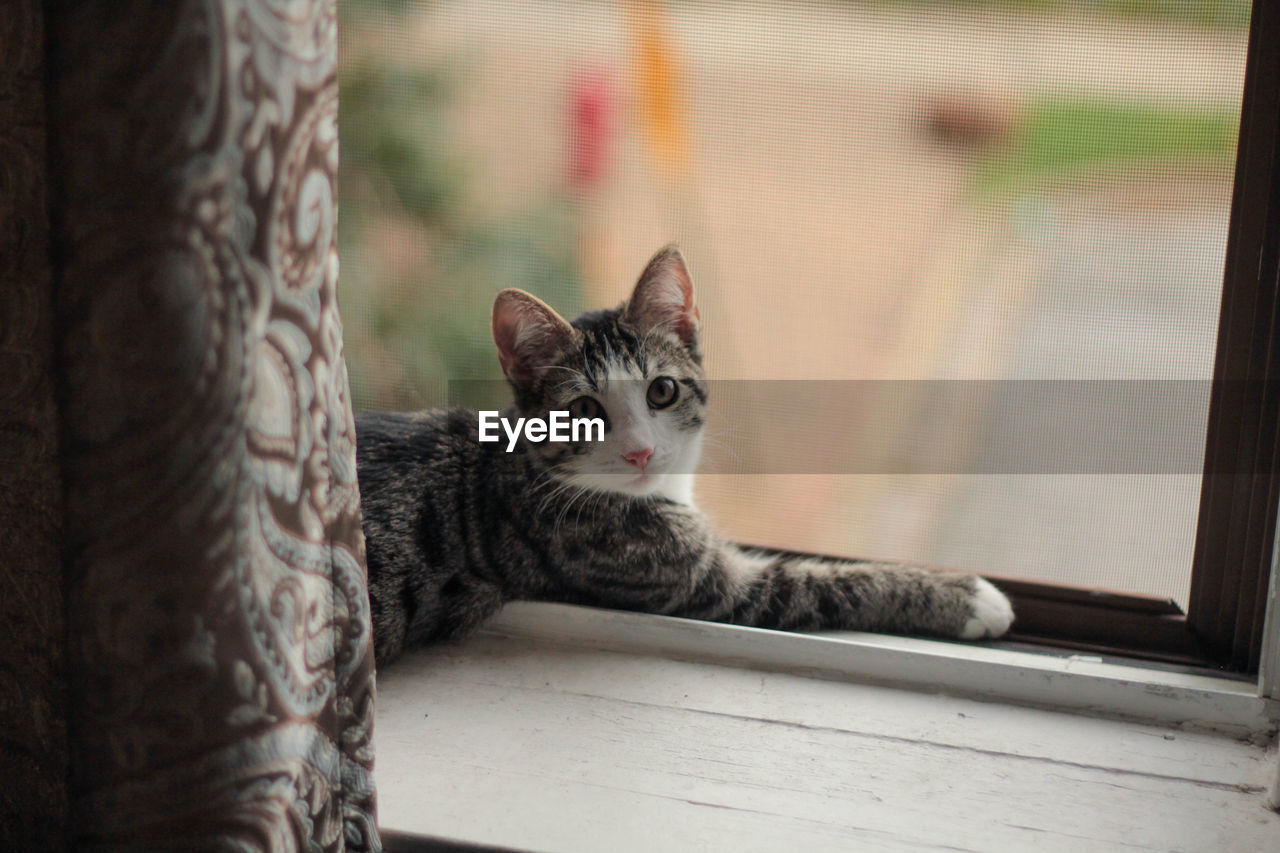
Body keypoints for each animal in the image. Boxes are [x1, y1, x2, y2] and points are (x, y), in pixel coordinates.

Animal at [355, 242, 1013, 660]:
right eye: (584, 411)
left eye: (662, 391)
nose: (642, 453)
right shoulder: (683, 575)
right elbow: (817, 583)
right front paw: (968, 597)